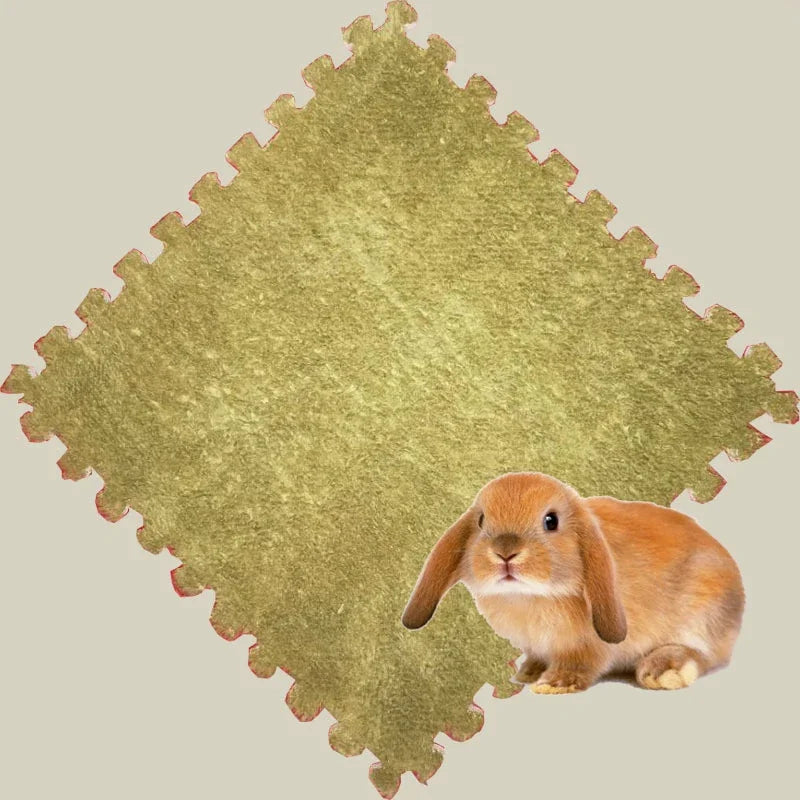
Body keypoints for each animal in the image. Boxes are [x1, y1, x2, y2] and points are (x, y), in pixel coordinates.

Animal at [402, 471, 744, 693]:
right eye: (482, 520)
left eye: (551, 521)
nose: (505, 552)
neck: (530, 596)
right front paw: (529, 673)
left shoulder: (587, 646)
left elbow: (581, 663)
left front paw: (554, 684)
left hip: (702, 615)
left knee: (703, 654)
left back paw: (664, 671)